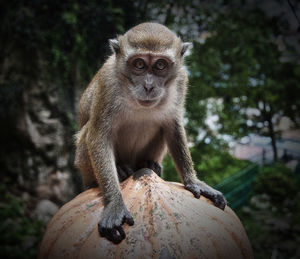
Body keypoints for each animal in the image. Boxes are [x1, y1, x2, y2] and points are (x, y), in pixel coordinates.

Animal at [74, 22, 225, 246]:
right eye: (139, 64)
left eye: (160, 65)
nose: (148, 85)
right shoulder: (108, 83)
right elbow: (98, 135)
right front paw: (114, 202)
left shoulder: (181, 79)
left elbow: (172, 125)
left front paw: (193, 181)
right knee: (87, 133)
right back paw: (119, 171)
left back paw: (148, 165)